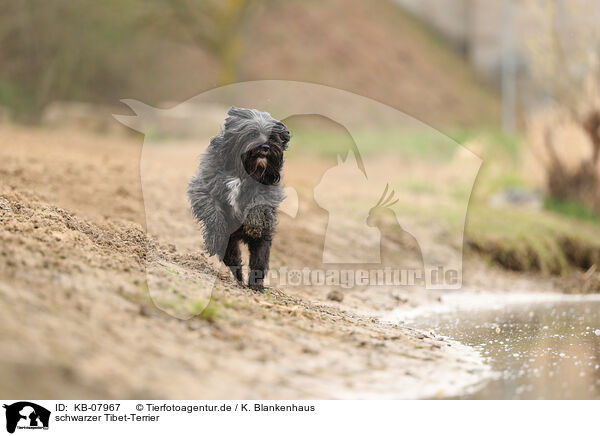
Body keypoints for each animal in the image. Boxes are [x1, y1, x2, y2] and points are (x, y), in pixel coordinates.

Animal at [188, 106, 290, 290]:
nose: (265, 147)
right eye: (253, 133)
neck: (242, 171)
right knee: (233, 258)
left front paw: (254, 223)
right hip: (230, 243)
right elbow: (212, 210)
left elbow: (259, 204)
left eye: (273, 137)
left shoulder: (267, 191)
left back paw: (255, 286)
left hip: (263, 240)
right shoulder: (203, 187)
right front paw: (215, 234)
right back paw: (240, 279)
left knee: (259, 260)